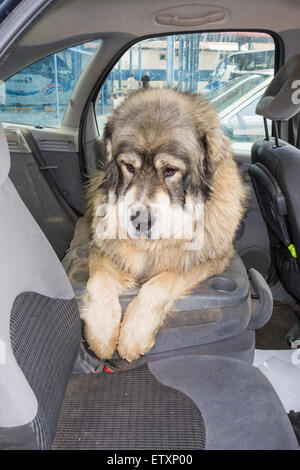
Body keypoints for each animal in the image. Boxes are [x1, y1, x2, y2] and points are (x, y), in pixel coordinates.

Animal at [81, 87, 245, 360]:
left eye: (169, 170)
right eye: (129, 166)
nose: (140, 221)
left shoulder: (208, 258)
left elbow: (161, 282)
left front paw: (133, 335)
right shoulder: (101, 248)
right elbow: (99, 280)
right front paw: (102, 333)